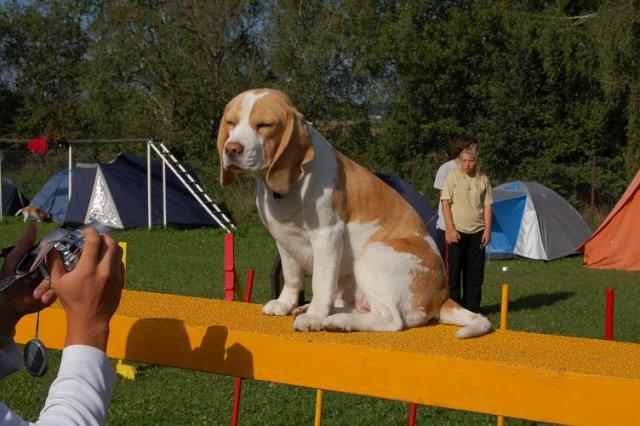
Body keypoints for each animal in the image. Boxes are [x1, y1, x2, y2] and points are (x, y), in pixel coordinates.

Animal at [218, 88, 492, 338]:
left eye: (264, 125)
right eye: (231, 123)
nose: (232, 149)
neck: (290, 186)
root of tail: (442, 296)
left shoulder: (326, 236)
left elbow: (320, 283)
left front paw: (314, 317)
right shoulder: (283, 239)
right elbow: (293, 276)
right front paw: (286, 304)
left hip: (372, 256)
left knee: (391, 320)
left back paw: (337, 320)